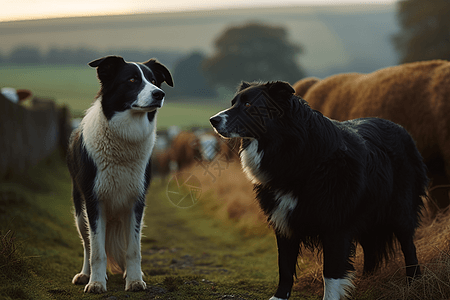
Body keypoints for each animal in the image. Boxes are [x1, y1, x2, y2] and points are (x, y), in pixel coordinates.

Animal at [66, 55, 172, 292]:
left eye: (154, 80)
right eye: (132, 80)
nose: (159, 94)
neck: (124, 137)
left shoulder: (136, 201)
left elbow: (133, 249)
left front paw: (134, 280)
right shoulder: (93, 201)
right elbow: (97, 251)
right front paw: (96, 282)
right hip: (80, 212)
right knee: (87, 244)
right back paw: (85, 274)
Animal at [209, 81, 428, 298]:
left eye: (248, 105)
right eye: (233, 103)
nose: (213, 120)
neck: (296, 152)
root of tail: (400, 128)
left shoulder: (336, 225)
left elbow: (331, 273)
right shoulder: (283, 221)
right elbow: (284, 265)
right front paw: (279, 296)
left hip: (400, 212)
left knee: (409, 247)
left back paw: (413, 283)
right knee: (371, 251)